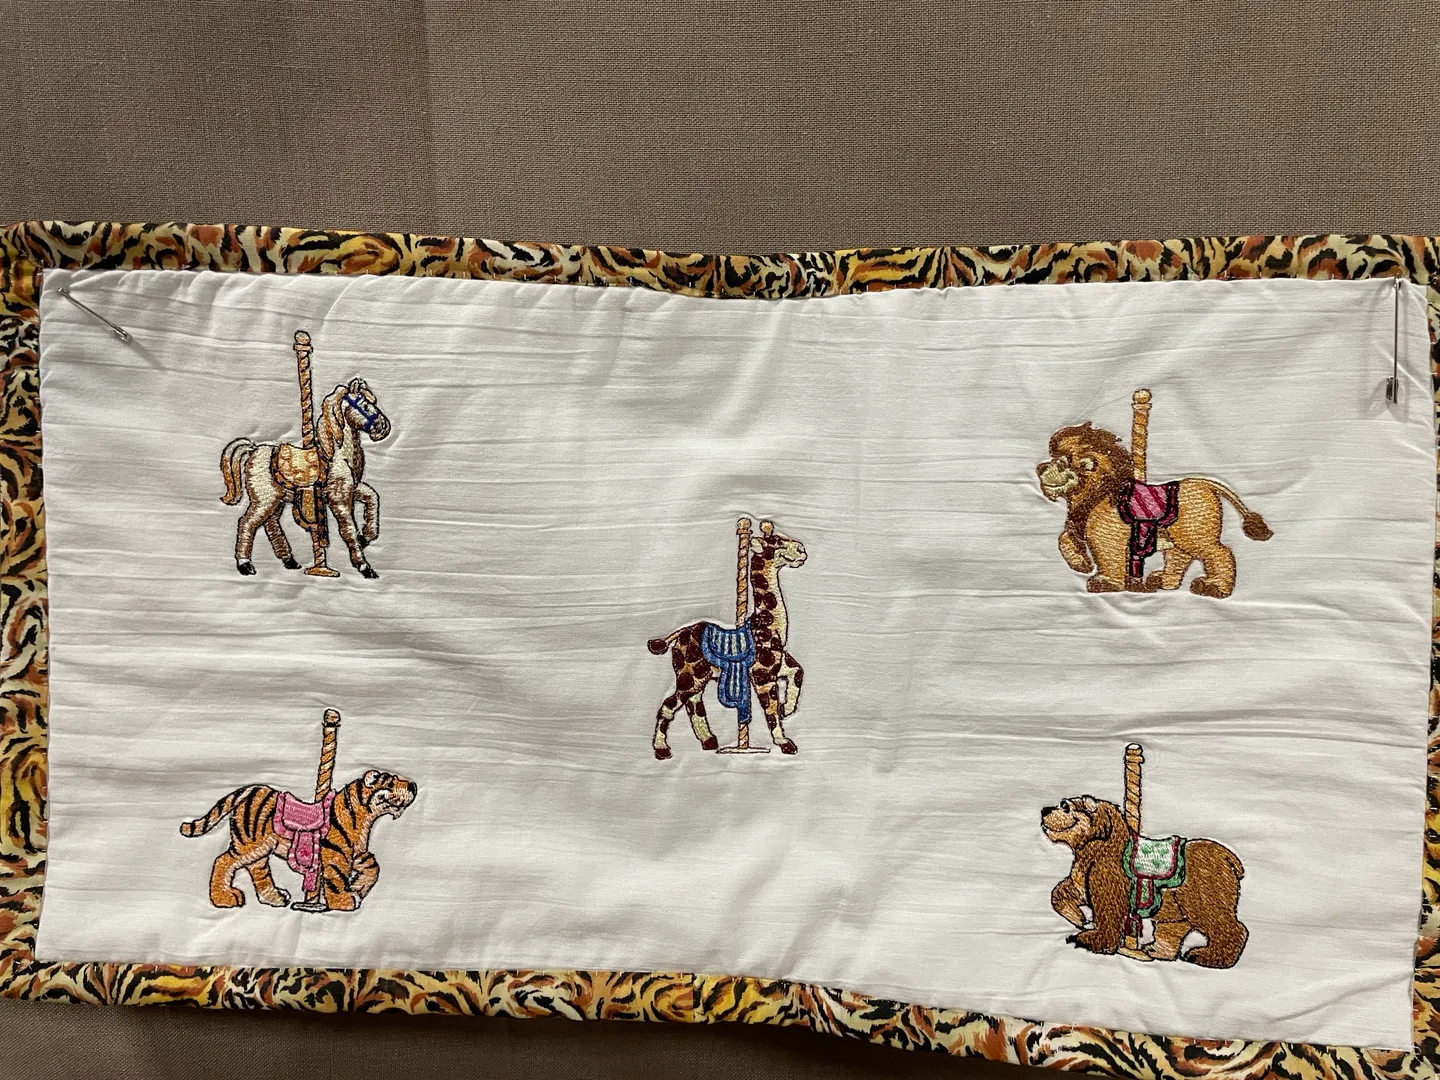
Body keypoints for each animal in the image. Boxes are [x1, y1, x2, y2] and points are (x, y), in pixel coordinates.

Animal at [220, 379, 392, 578]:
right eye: (364, 405)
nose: (383, 427)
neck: (338, 455)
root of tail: (254, 450)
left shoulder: (351, 490)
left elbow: (372, 497)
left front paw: (365, 537)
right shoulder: (339, 499)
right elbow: (348, 529)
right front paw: (365, 567)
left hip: (278, 499)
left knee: (270, 523)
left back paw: (290, 560)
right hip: (264, 498)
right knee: (247, 522)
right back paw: (245, 565)